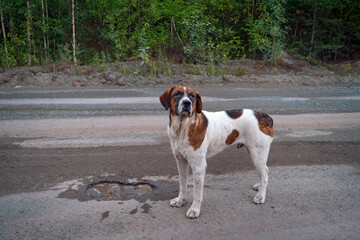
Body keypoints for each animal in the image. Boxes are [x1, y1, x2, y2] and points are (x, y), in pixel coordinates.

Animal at [159, 86, 274, 219]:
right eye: (177, 94)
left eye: (192, 96)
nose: (187, 103)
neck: (182, 127)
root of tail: (265, 116)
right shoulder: (181, 161)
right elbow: (182, 184)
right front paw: (180, 200)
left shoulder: (199, 166)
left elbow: (197, 192)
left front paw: (195, 209)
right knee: (265, 171)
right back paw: (259, 186)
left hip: (257, 154)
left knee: (264, 174)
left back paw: (261, 196)